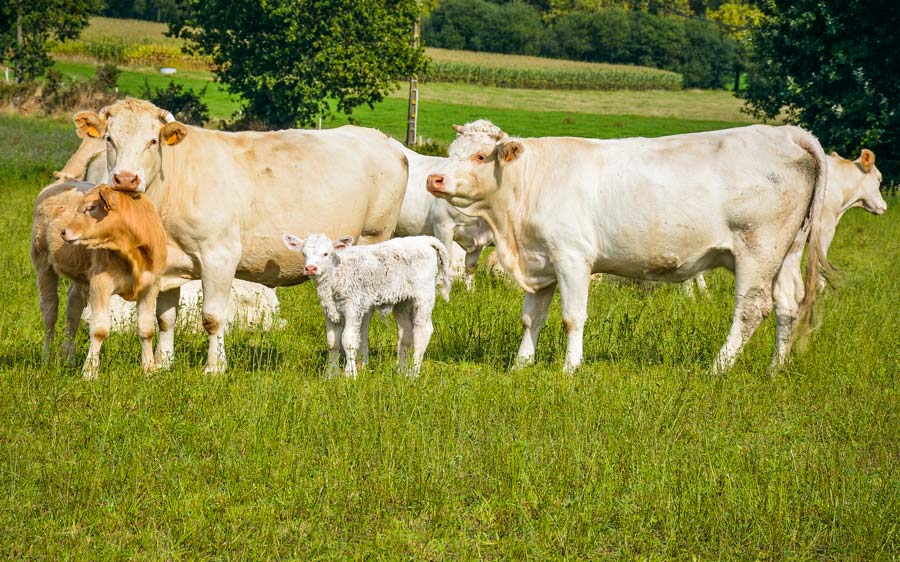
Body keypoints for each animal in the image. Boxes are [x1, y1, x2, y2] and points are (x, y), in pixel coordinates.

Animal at [284, 232, 450, 376]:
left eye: (326, 254)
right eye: (304, 254)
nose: (310, 268)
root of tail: (425, 239)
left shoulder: (353, 306)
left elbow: (348, 340)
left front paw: (350, 375)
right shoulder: (329, 310)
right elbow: (332, 342)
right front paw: (330, 375)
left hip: (424, 295)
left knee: (423, 330)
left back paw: (413, 373)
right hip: (403, 301)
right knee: (405, 332)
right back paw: (400, 371)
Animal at [392, 140, 492, 288]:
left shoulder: (480, 238)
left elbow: (471, 266)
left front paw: (470, 290)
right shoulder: (443, 225)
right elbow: (445, 260)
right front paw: (440, 288)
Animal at [428, 118, 828, 372]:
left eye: (481, 156)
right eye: (451, 151)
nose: (435, 178)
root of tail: (786, 134)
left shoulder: (572, 258)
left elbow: (573, 317)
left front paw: (570, 368)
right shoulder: (540, 261)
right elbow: (531, 318)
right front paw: (520, 365)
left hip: (757, 251)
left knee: (750, 310)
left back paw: (718, 368)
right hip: (785, 254)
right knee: (787, 307)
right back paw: (776, 369)